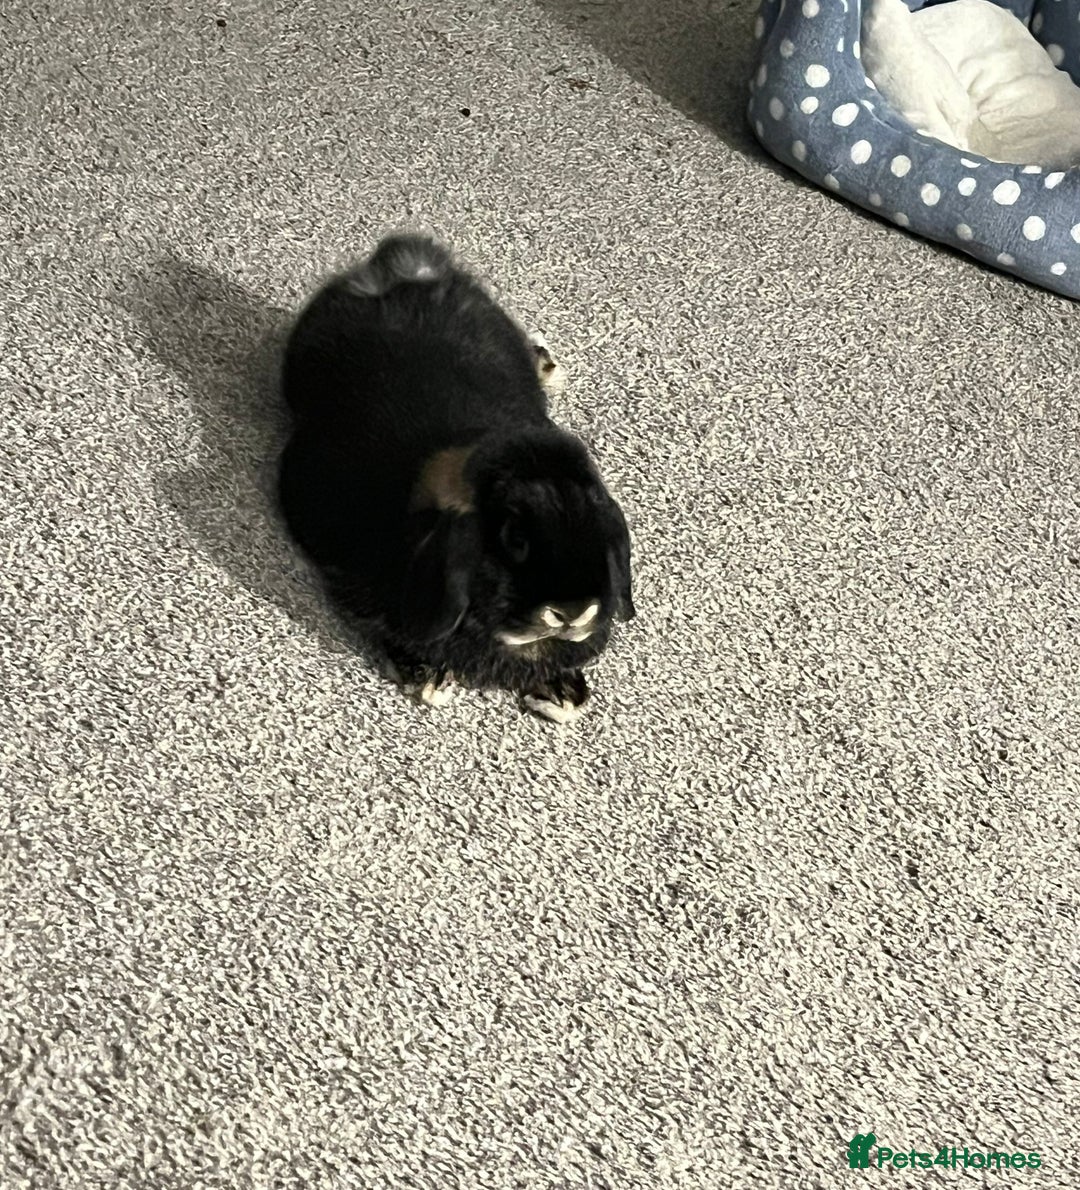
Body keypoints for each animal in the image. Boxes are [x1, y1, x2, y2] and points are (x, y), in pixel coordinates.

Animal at [277, 234, 635, 723]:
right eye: (513, 537)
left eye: (595, 516)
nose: (572, 612)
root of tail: (403, 269)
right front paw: (430, 677)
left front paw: (562, 692)